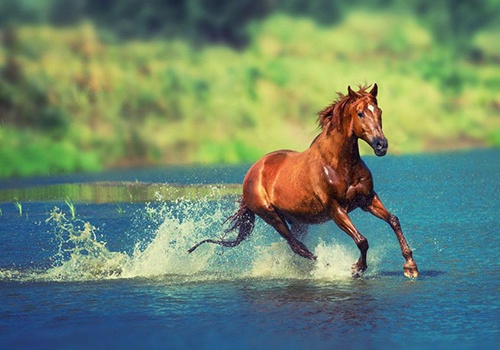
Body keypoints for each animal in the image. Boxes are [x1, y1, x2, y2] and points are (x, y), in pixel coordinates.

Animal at [188, 83, 418, 278]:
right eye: (360, 113)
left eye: (379, 112)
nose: (381, 145)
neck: (339, 164)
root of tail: (252, 173)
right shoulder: (336, 209)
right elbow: (362, 240)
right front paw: (356, 268)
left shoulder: (367, 199)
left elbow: (393, 220)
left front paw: (410, 267)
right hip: (271, 216)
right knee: (297, 246)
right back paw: (326, 266)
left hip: (297, 219)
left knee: (296, 245)